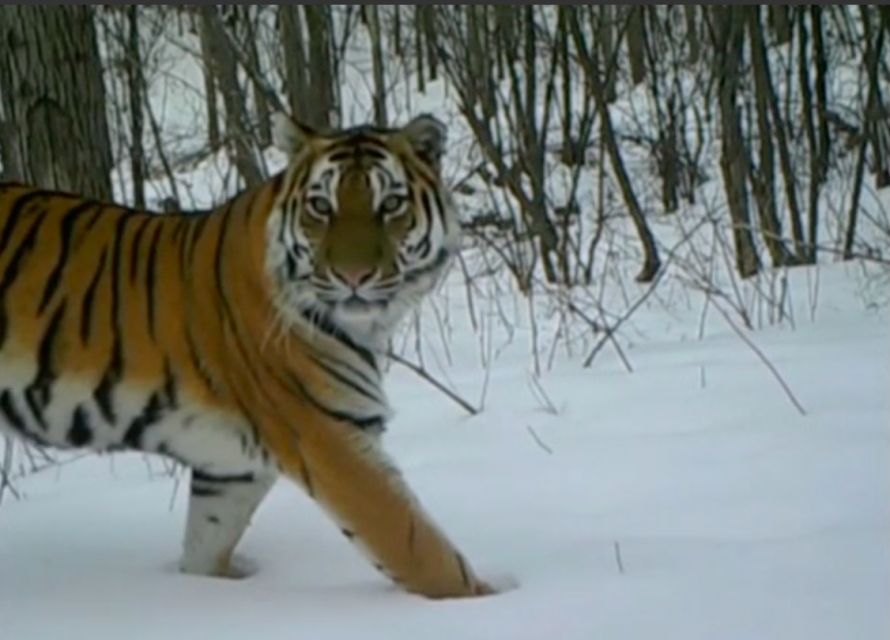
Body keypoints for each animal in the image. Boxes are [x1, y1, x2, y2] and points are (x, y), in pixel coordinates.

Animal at [0, 112, 502, 599]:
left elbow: (205, 544)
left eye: (391, 205)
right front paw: (488, 599)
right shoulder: (329, 436)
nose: (353, 276)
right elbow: (421, 548)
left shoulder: (230, 470)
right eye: (322, 207)